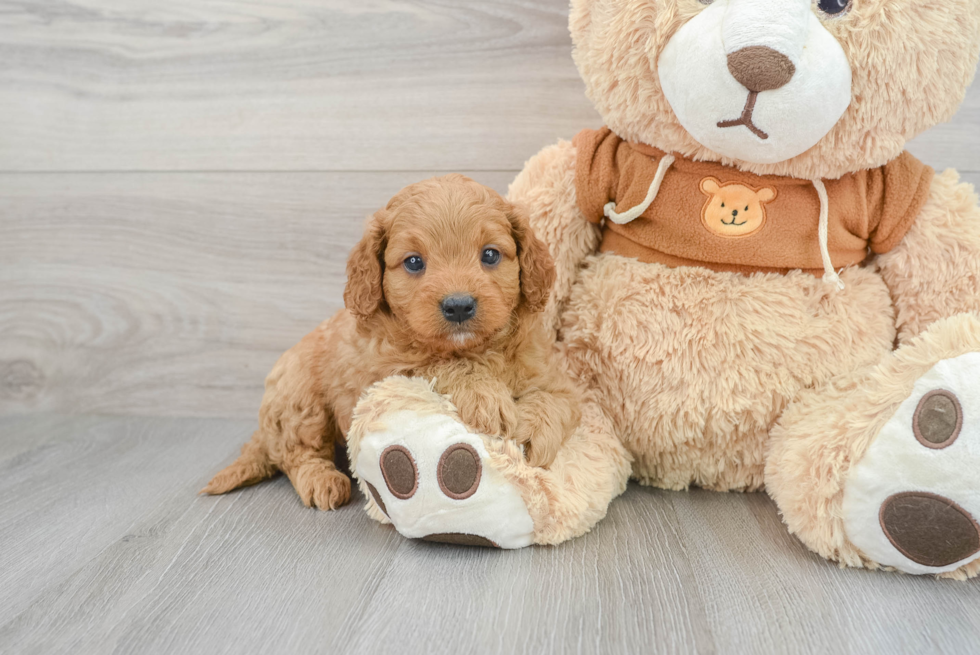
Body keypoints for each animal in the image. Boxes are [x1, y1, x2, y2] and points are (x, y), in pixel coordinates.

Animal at [202, 176, 580, 512]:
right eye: (413, 261)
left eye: (490, 255)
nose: (458, 305)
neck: (473, 348)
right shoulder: (385, 373)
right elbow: (439, 365)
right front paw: (485, 395)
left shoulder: (550, 371)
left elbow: (557, 399)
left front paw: (531, 431)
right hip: (298, 399)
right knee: (296, 453)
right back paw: (322, 480)